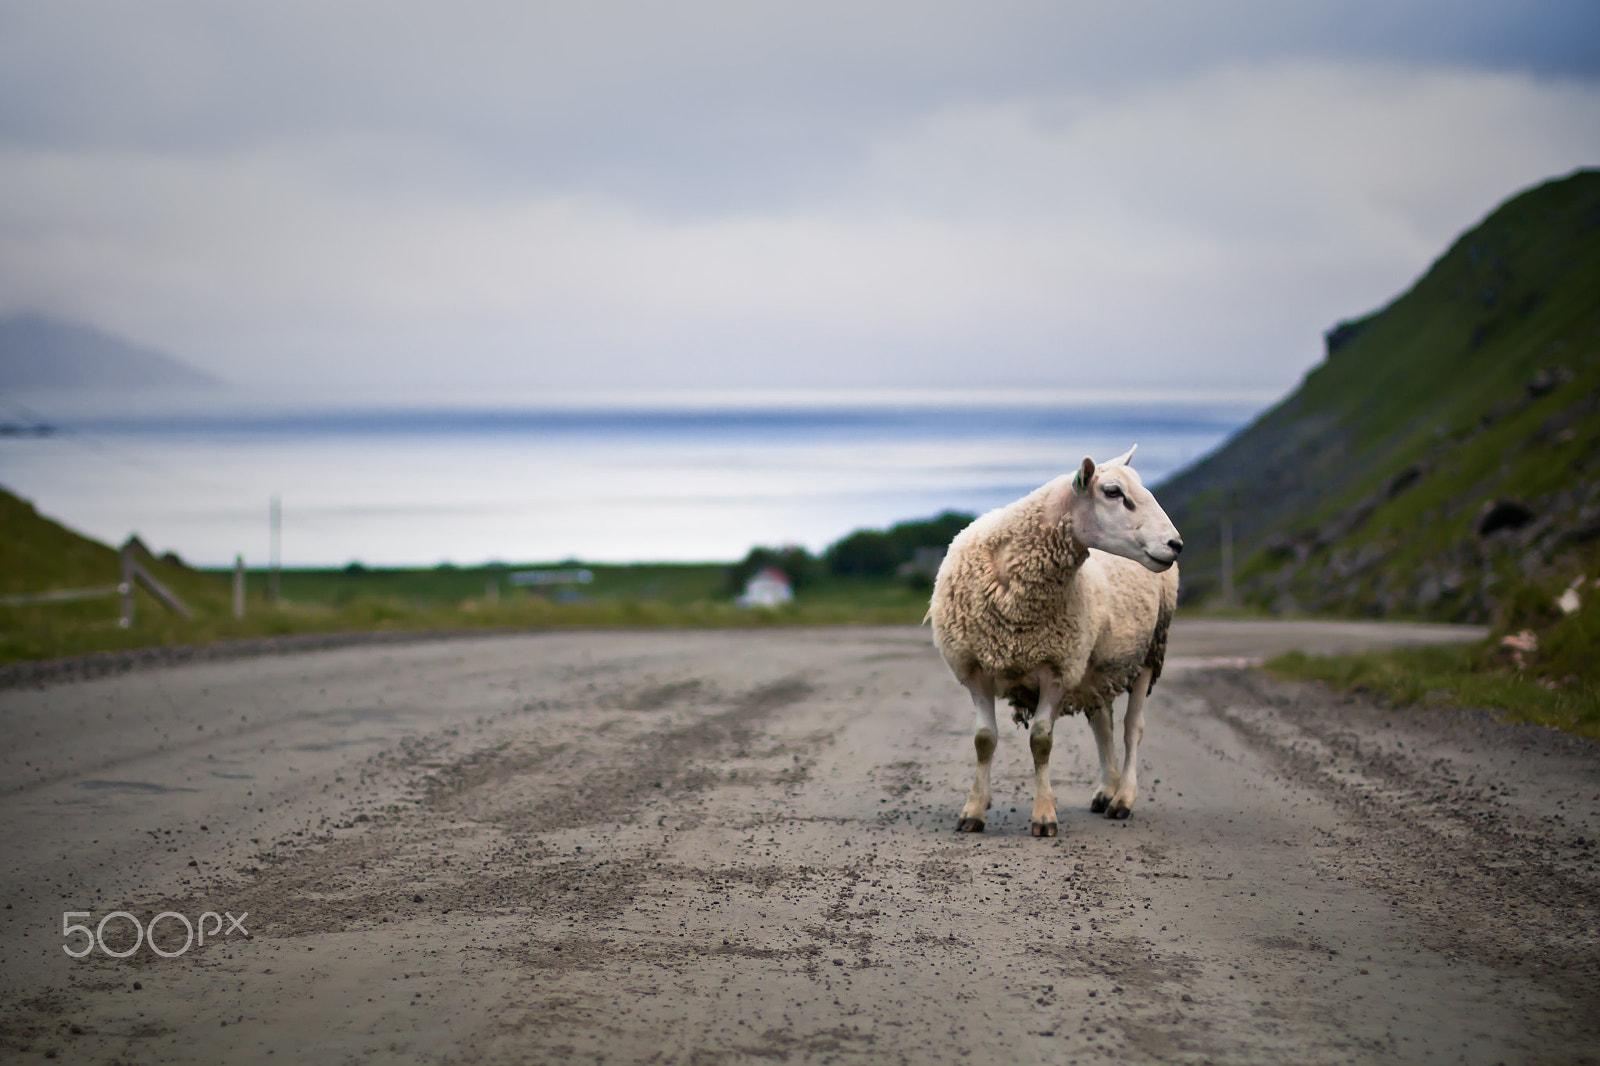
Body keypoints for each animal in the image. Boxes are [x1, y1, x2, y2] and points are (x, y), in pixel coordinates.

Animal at [928, 444, 1190, 832]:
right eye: (1113, 492)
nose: (1175, 544)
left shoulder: (1057, 669)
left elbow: (1041, 741)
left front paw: (1044, 816)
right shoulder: (974, 667)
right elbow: (984, 740)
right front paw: (973, 811)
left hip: (1150, 651)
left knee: (1132, 728)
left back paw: (1123, 798)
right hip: (1096, 664)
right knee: (1102, 723)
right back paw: (1106, 789)